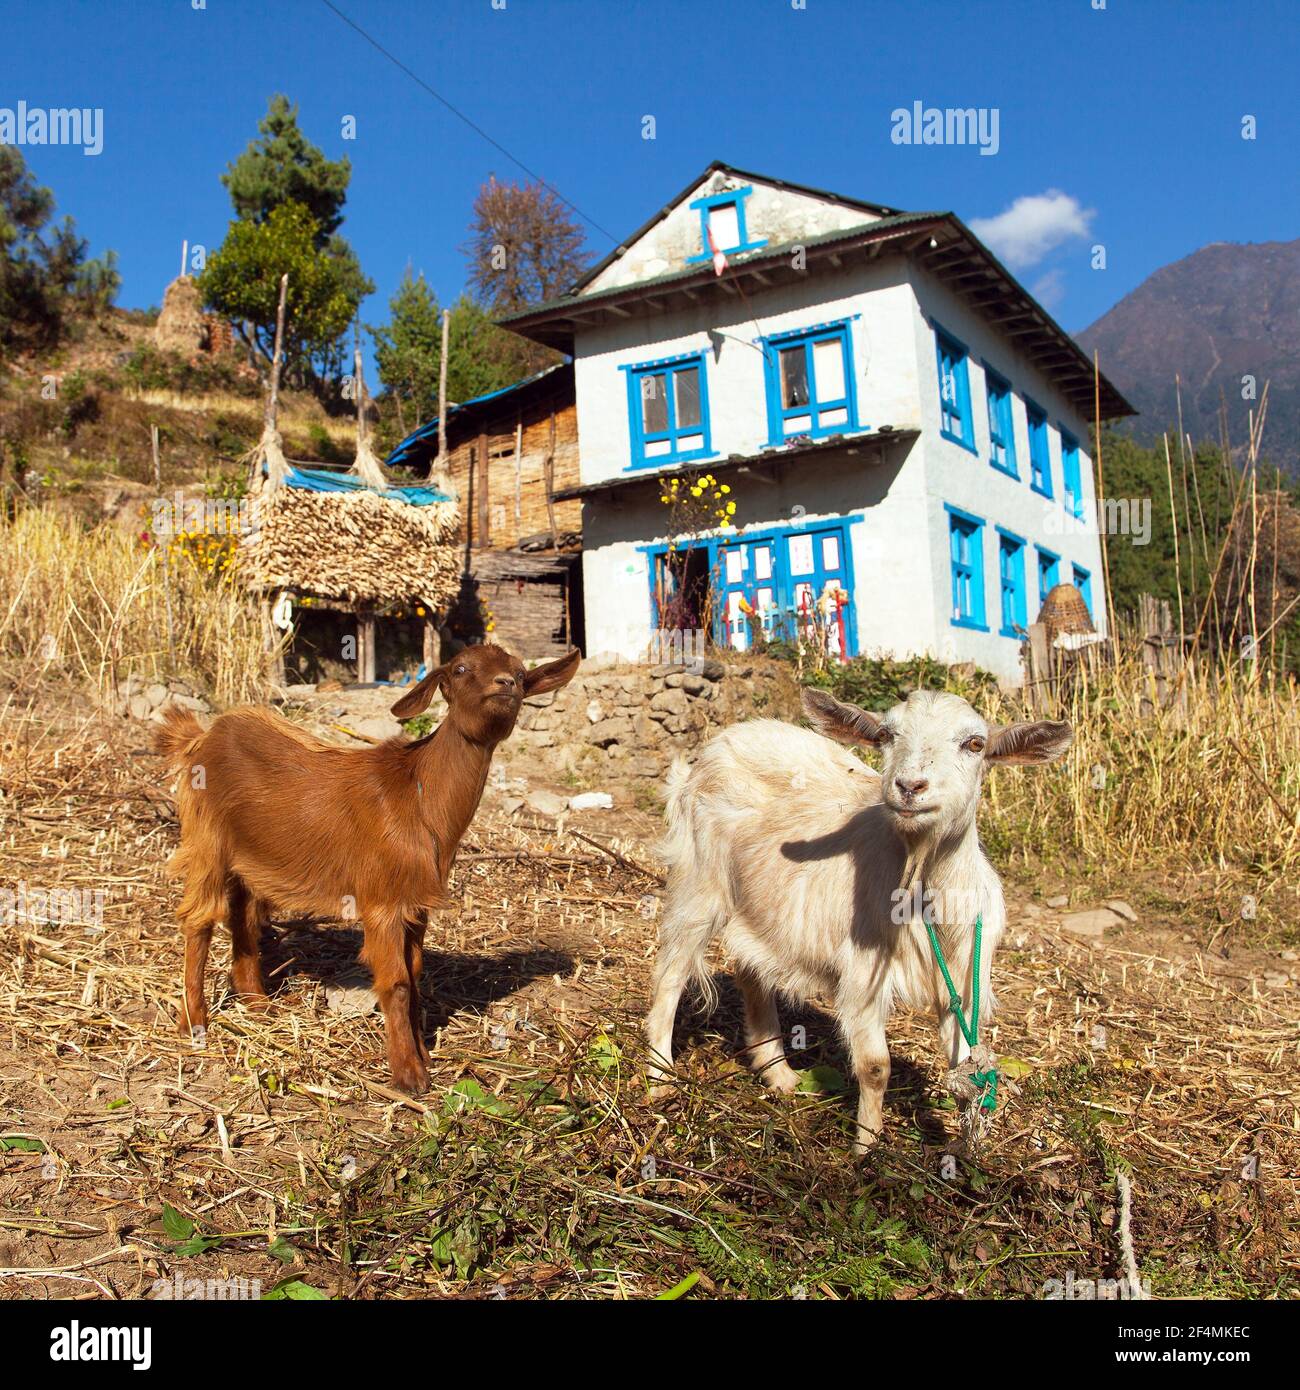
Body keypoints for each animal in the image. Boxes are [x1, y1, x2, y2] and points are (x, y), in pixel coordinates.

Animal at [153, 642, 578, 1095]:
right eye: (461, 669)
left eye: (521, 672)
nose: (506, 684)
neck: (417, 796)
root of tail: (200, 737)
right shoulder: (383, 902)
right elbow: (396, 983)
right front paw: (408, 1074)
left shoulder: (416, 905)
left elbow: (415, 972)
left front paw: (423, 1054)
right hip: (206, 838)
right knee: (199, 918)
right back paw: (193, 1022)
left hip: (254, 855)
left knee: (244, 915)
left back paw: (255, 1001)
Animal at [645, 683, 1073, 1150]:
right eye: (886, 735)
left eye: (975, 744)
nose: (910, 786)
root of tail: (723, 741)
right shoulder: (863, 973)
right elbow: (875, 1066)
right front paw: (865, 1149)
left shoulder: (964, 978)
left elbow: (964, 1064)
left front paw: (967, 1151)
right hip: (698, 883)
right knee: (671, 973)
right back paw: (659, 1077)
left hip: (763, 907)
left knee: (750, 969)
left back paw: (779, 1074)